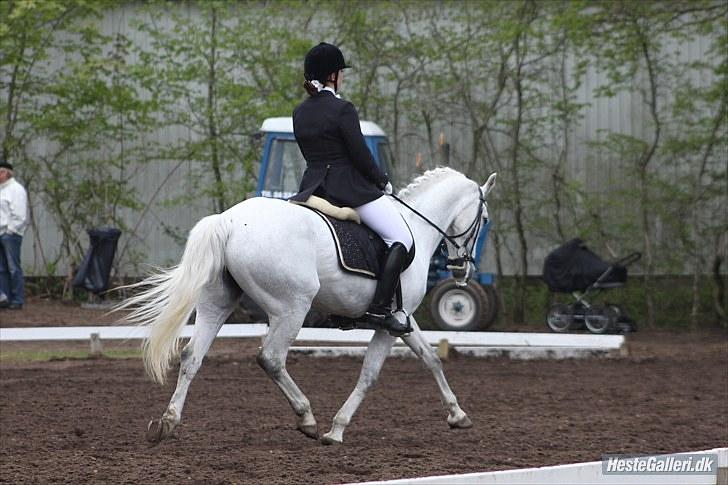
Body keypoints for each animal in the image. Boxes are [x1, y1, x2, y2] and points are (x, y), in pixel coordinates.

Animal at [119, 167, 497, 445]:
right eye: (485, 220)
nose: (462, 270)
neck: (416, 226)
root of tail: (228, 221)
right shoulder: (388, 324)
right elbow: (370, 374)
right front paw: (337, 429)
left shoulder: (402, 318)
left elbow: (430, 358)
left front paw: (458, 415)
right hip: (291, 307)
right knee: (271, 358)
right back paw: (307, 418)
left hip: (217, 302)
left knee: (191, 357)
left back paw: (167, 423)